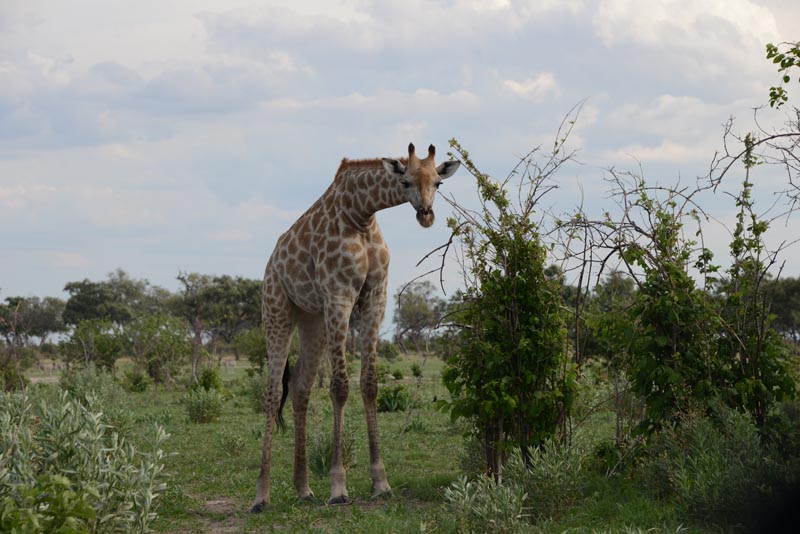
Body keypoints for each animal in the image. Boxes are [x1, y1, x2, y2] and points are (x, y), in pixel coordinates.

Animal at [251, 143, 460, 512]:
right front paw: (338, 487)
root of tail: (271, 262)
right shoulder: (340, 295)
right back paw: (262, 495)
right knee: (274, 390)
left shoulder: (376, 297)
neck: (360, 214)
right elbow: (340, 386)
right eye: (404, 181)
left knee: (301, 387)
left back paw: (304, 489)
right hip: (277, 310)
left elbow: (370, 384)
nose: (426, 214)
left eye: (438, 183)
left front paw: (381, 482)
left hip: (312, 320)